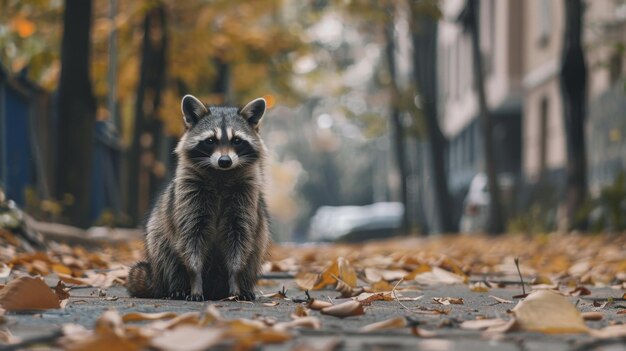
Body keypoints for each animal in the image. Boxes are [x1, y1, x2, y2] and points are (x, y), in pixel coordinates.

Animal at [127, 95, 270, 302]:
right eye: (210, 140)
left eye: (237, 140)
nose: (225, 161)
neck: (220, 175)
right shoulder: (188, 199)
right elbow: (190, 241)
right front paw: (194, 281)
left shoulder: (245, 201)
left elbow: (240, 243)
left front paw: (236, 281)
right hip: (158, 233)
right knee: (165, 253)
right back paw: (178, 286)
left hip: (260, 236)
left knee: (254, 252)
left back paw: (245, 286)